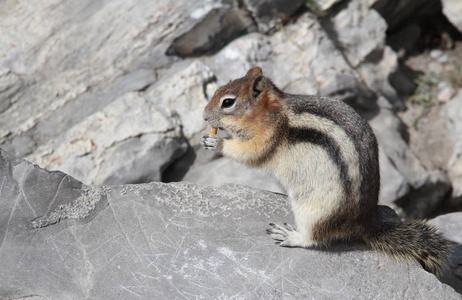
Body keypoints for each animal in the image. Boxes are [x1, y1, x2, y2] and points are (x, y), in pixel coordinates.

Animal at [200, 67, 456, 276]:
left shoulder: (267, 136)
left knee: (314, 239)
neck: (268, 111)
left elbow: (250, 153)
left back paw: (290, 235)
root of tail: (363, 223)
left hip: (313, 210)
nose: (203, 116)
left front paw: (217, 143)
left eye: (227, 102)